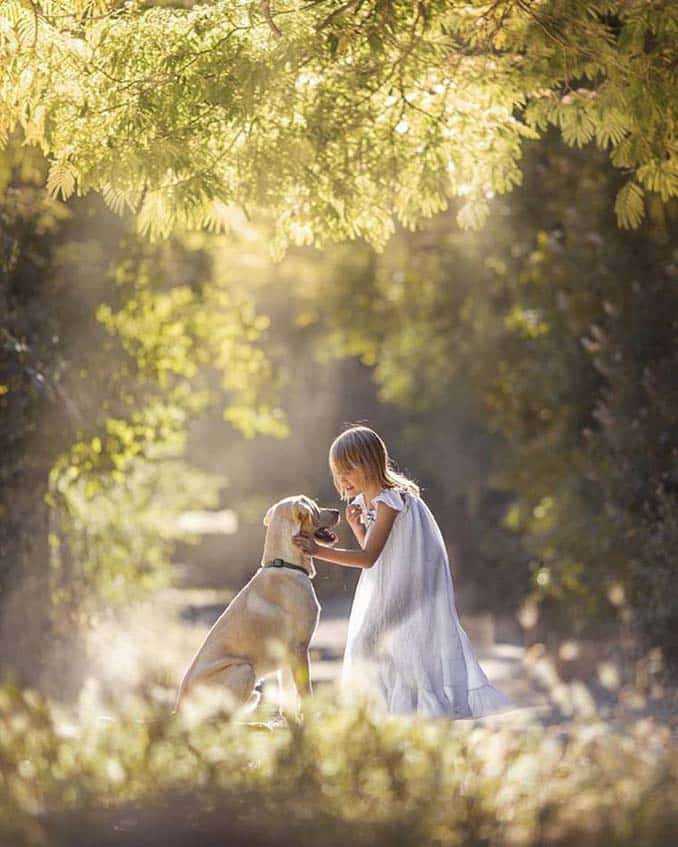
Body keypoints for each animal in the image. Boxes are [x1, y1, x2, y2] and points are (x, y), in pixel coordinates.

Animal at [174, 496, 340, 724]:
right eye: (315, 508)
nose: (338, 511)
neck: (285, 564)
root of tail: (178, 711)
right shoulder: (299, 648)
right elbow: (305, 693)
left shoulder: (287, 654)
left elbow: (288, 697)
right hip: (244, 670)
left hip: (252, 690)